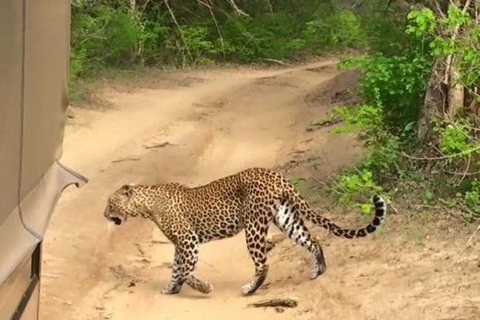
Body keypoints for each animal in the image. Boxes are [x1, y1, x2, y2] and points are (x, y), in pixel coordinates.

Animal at [102, 168, 386, 296]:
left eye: (110, 203)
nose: (104, 214)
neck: (147, 206)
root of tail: (276, 175)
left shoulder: (188, 240)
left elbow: (185, 269)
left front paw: (202, 287)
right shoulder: (180, 244)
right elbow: (176, 268)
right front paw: (172, 288)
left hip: (254, 226)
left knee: (263, 264)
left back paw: (249, 289)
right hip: (286, 217)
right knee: (313, 239)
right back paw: (319, 270)